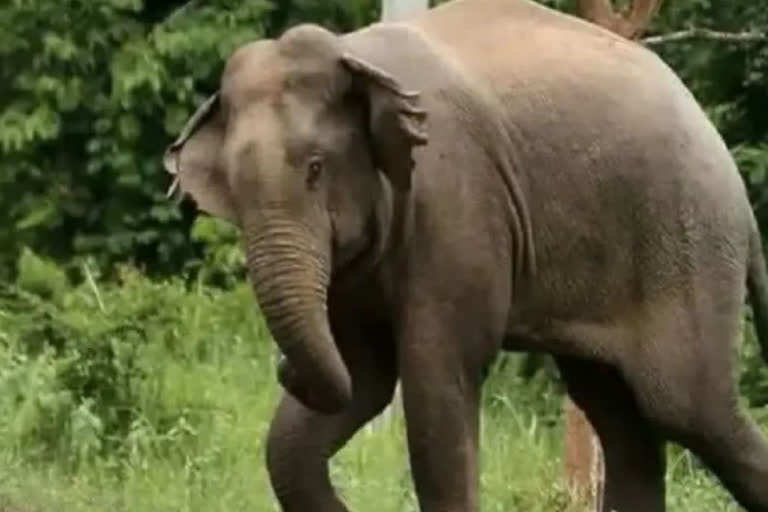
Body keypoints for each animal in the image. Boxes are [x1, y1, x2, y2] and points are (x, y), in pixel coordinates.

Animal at [164, 0, 768, 510]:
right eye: (231, 191)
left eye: (315, 169)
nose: (282, 368)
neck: (357, 56)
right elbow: (356, 382)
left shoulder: (457, 207)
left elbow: (435, 388)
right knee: (619, 416)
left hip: (686, 241)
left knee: (688, 407)